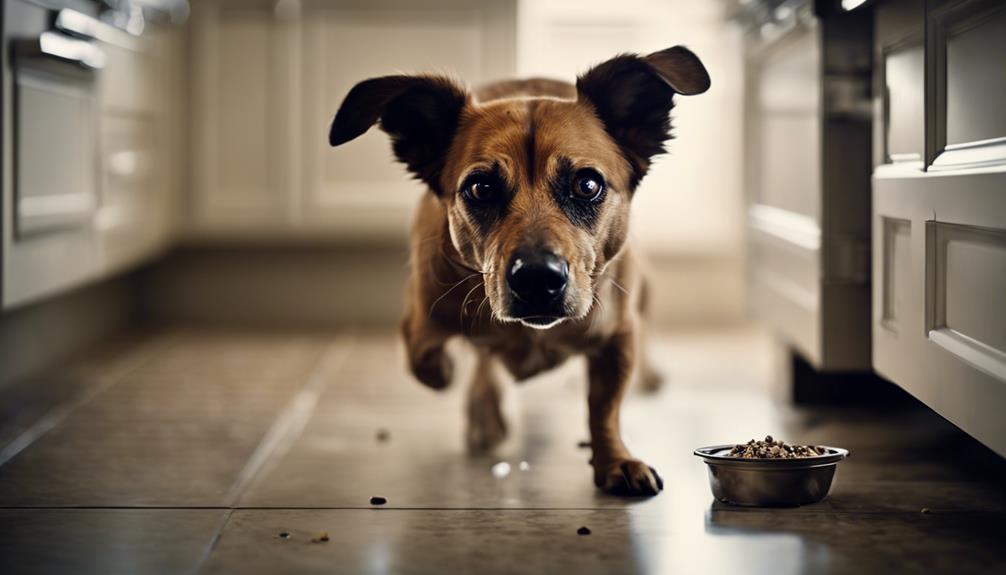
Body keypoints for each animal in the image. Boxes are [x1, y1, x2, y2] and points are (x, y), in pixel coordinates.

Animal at [327, 45, 708, 494]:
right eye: (480, 188)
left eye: (588, 185)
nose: (537, 279)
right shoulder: (420, 319)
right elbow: (428, 361)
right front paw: (456, 379)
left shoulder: (618, 335)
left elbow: (604, 407)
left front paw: (614, 460)